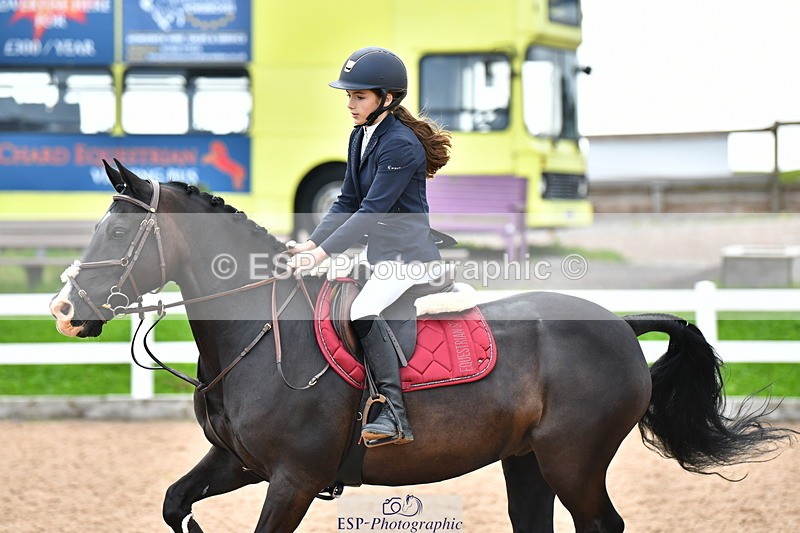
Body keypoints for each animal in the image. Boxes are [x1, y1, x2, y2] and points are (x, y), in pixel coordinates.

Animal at [50, 160, 795, 533]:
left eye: (116, 234)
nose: (63, 312)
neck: (259, 333)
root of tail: (620, 323)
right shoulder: (240, 461)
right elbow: (175, 503)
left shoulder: (293, 477)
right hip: (528, 462)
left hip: (573, 461)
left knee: (601, 524)